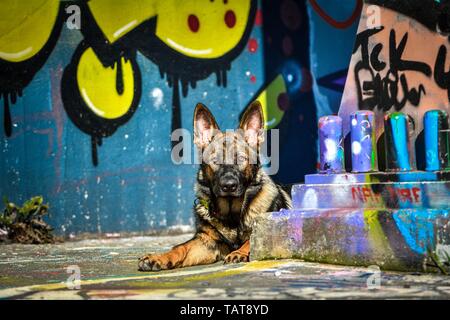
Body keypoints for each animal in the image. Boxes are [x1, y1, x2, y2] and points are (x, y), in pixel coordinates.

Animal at [138, 101, 292, 272]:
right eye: (215, 160)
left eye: (241, 159)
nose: (229, 186)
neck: (231, 215)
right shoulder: (206, 242)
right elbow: (180, 247)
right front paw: (158, 257)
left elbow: (250, 240)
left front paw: (239, 252)